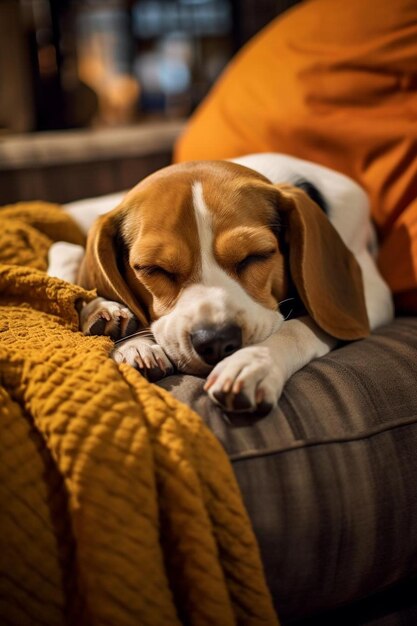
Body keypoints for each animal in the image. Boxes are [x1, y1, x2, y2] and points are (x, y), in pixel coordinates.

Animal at [48, 153, 394, 412]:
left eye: (256, 256)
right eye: (153, 269)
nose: (215, 341)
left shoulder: (372, 297)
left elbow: (299, 326)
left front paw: (255, 362)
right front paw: (133, 343)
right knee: (64, 250)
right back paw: (104, 313)